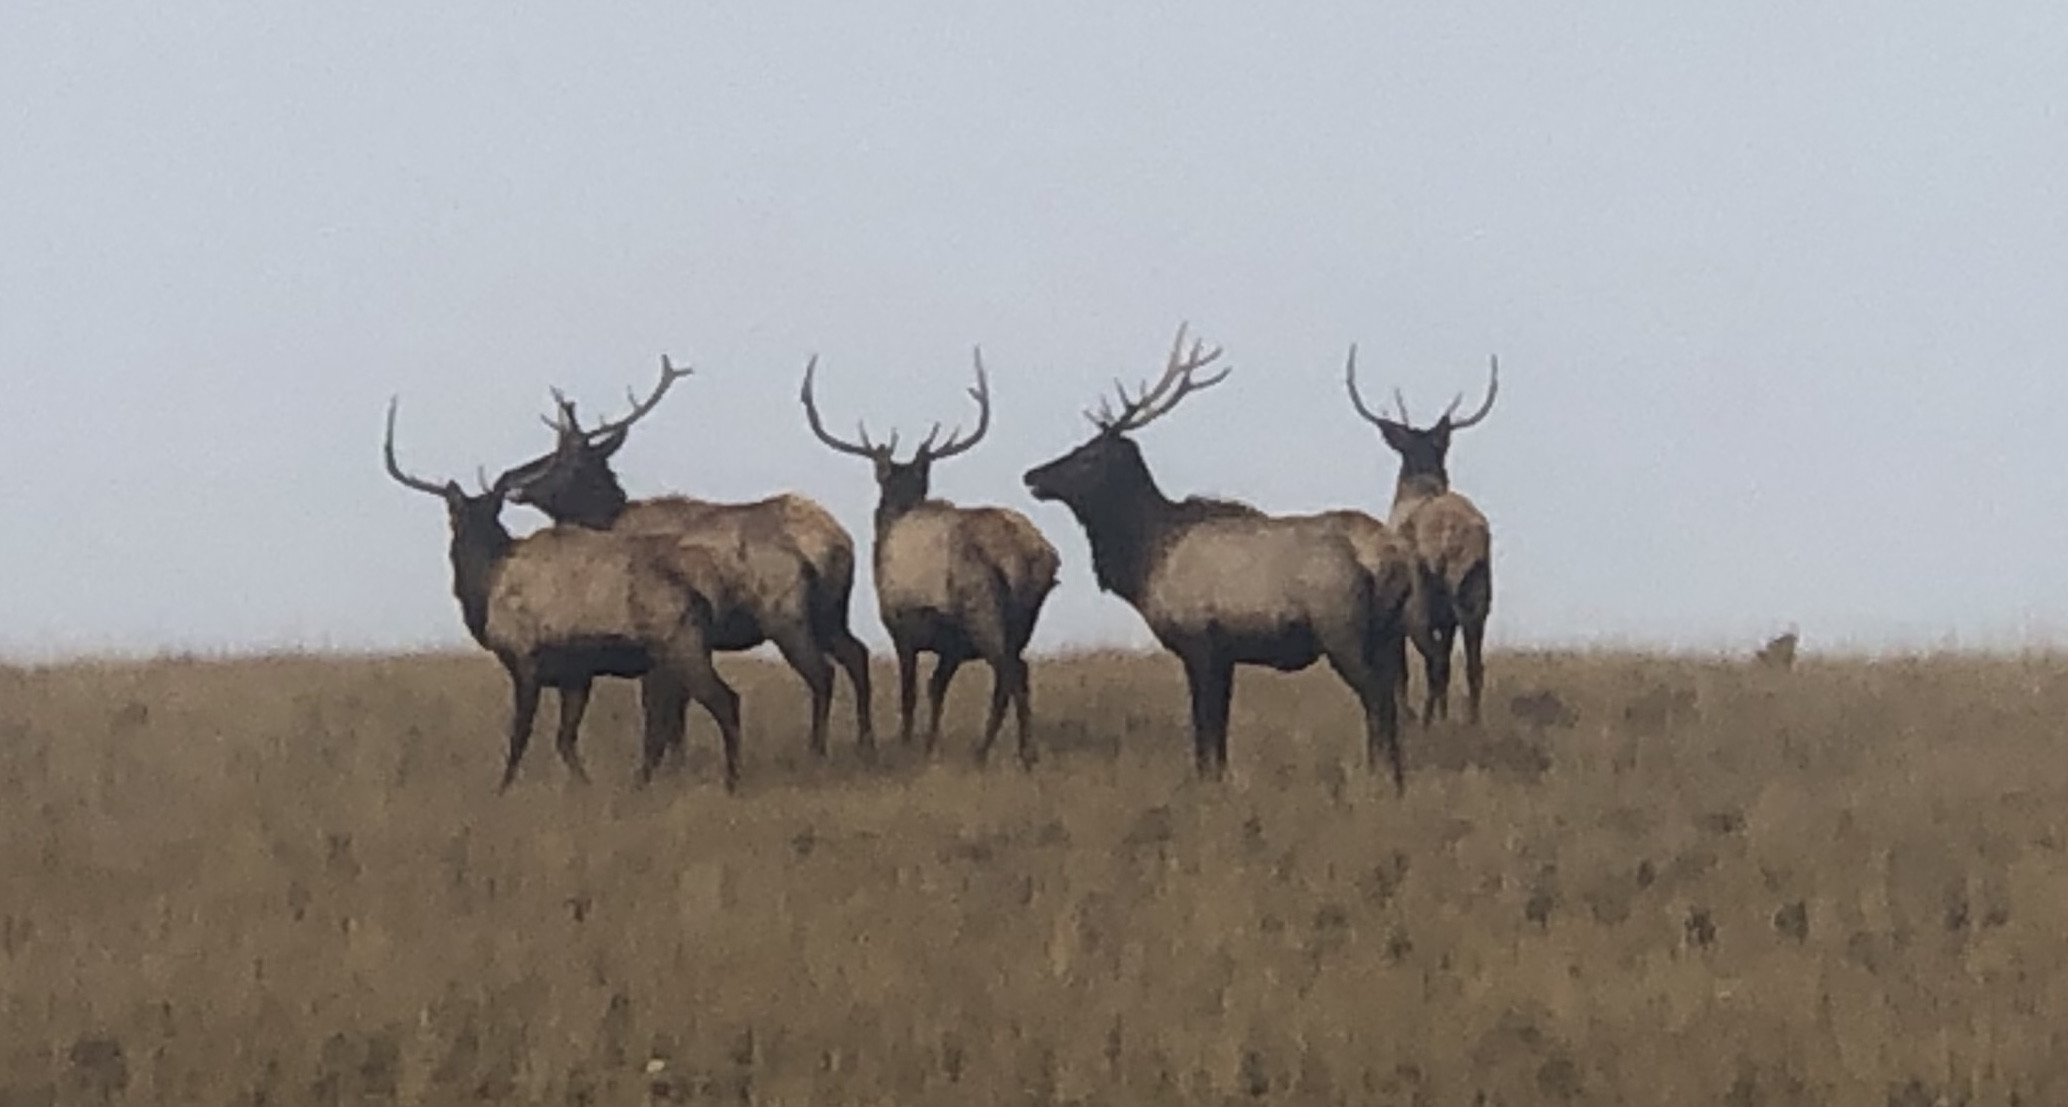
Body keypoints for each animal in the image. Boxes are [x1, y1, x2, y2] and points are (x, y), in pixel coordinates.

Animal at [382, 396, 746, 792]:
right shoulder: (574, 675)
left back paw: (729, 782)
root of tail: (702, 588)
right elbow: (565, 740)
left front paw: (502, 790)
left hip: (679, 645)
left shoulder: (525, 659)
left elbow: (520, 737)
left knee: (720, 702)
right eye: (455, 516)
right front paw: (584, 786)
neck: (485, 583)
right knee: (676, 720)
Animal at [495, 356, 876, 762]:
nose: (509, 479)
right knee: (857, 654)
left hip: (786, 616)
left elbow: (660, 710)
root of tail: (837, 542)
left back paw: (816, 749)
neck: (606, 519)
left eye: (564, 460)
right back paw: (865, 741)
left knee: (822, 672)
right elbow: (679, 708)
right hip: (832, 612)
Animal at [798, 346, 1061, 767]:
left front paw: (907, 742)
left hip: (980, 608)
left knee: (1010, 672)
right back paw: (998, 748)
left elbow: (909, 691)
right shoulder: (949, 644)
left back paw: (1013, 752)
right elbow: (936, 688)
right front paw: (928, 743)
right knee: (1016, 671)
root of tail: (1027, 556)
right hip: (1025, 618)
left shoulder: (900, 625)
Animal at [1021, 324, 1414, 787]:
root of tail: (1386, 556)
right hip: (1388, 632)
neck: (1145, 560)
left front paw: (1206, 782)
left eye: (1088, 455)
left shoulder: (1199, 642)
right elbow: (1219, 726)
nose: (1032, 475)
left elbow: (1205, 725)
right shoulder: (1225, 653)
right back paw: (1396, 777)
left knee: (1376, 697)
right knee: (1392, 697)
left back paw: (1378, 777)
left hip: (1341, 628)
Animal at [1343, 345, 1499, 726]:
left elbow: (1401, 670)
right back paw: (1470, 722)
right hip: (1476, 593)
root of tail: (1458, 539)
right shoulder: (1450, 617)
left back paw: (1428, 722)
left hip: (1418, 602)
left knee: (1435, 661)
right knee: (1472, 666)